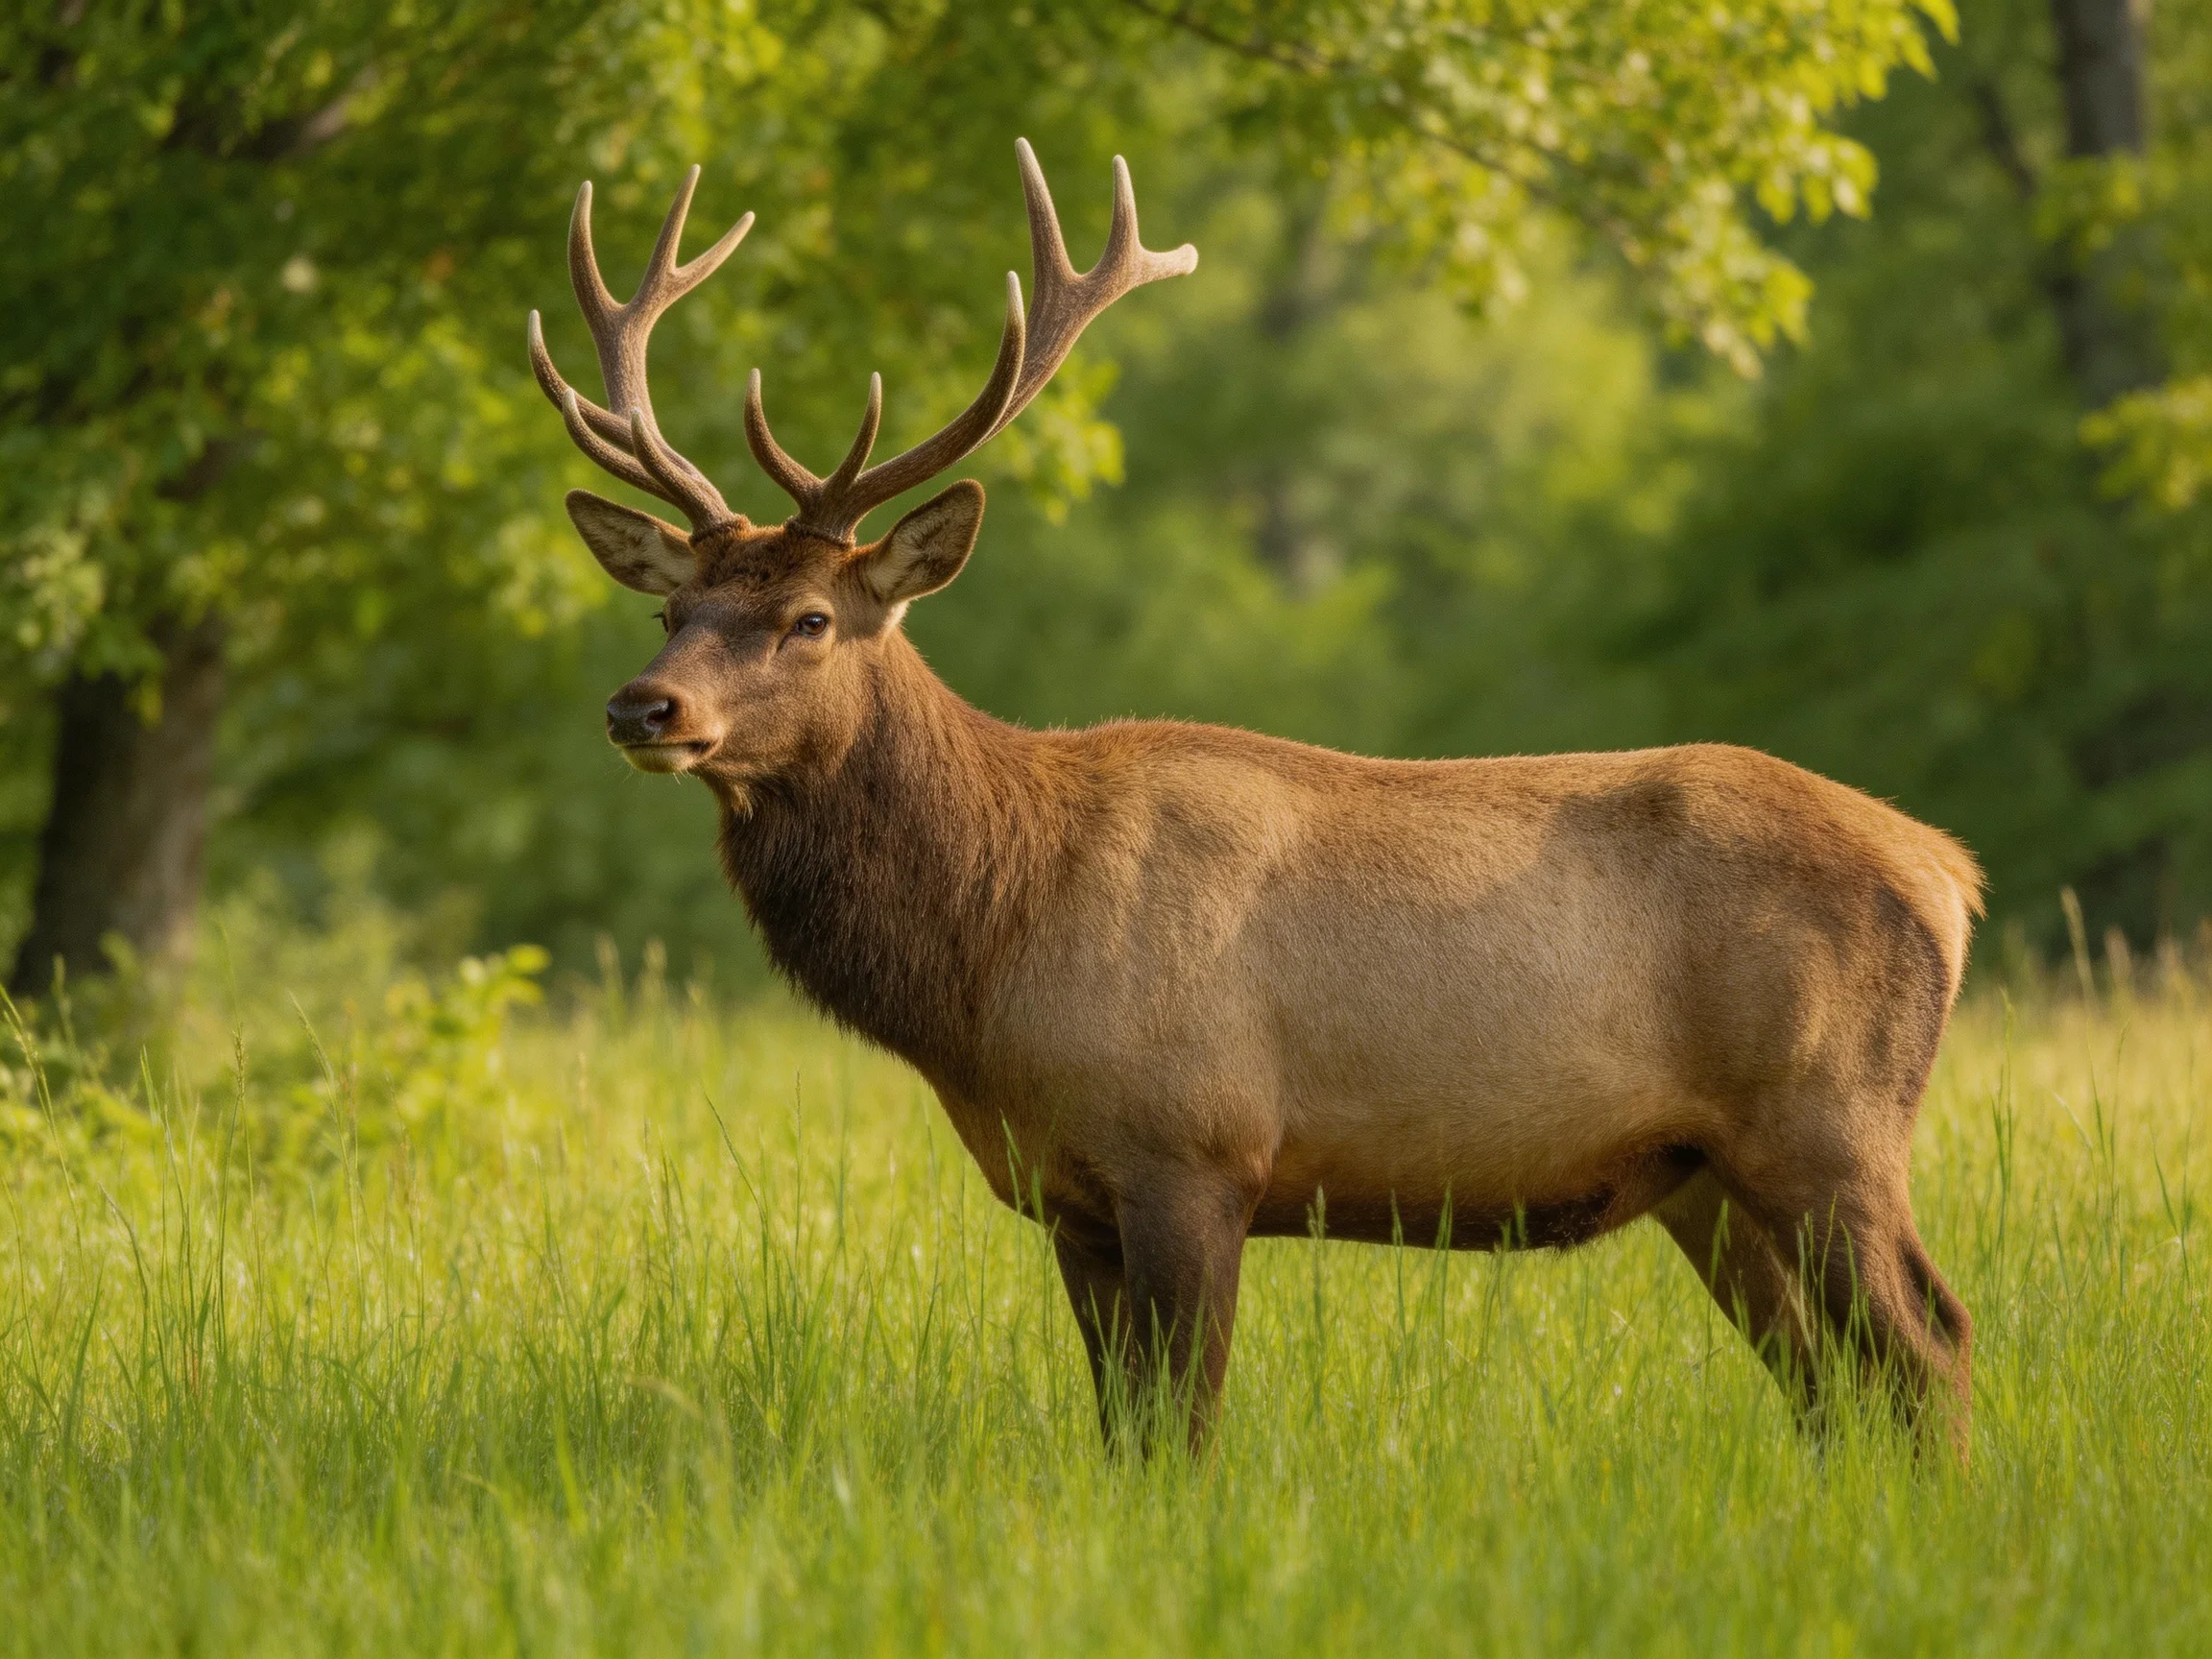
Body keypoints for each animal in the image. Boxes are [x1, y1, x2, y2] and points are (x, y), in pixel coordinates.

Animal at [527, 140, 1982, 1456]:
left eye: (813, 618)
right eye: (671, 608)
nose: (642, 709)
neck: (992, 953)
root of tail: (1949, 872)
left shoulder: (1195, 1146)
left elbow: (1184, 1428)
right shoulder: (1072, 1197)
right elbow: (1123, 1432)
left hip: (1830, 1124)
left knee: (1932, 1342)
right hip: (1707, 1179)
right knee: (1831, 1384)